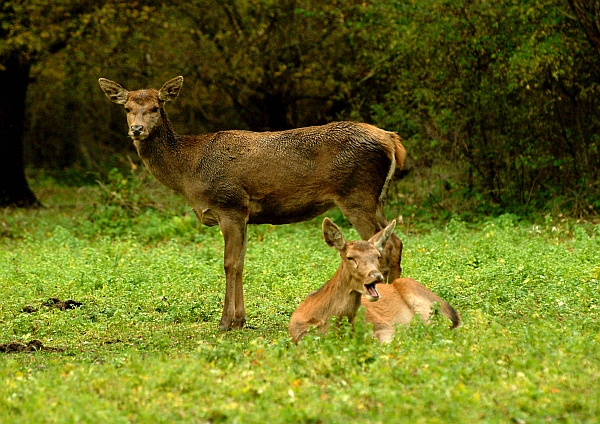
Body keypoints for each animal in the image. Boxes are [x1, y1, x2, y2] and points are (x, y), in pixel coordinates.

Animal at [99, 76, 408, 332]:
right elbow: (242, 262)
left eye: (155, 107)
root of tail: (392, 139)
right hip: (376, 198)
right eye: (127, 108)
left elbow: (230, 263)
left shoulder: (230, 205)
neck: (188, 171)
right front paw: (241, 320)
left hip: (356, 195)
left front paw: (225, 322)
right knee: (396, 241)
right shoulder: (244, 214)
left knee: (387, 246)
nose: (136, 129)